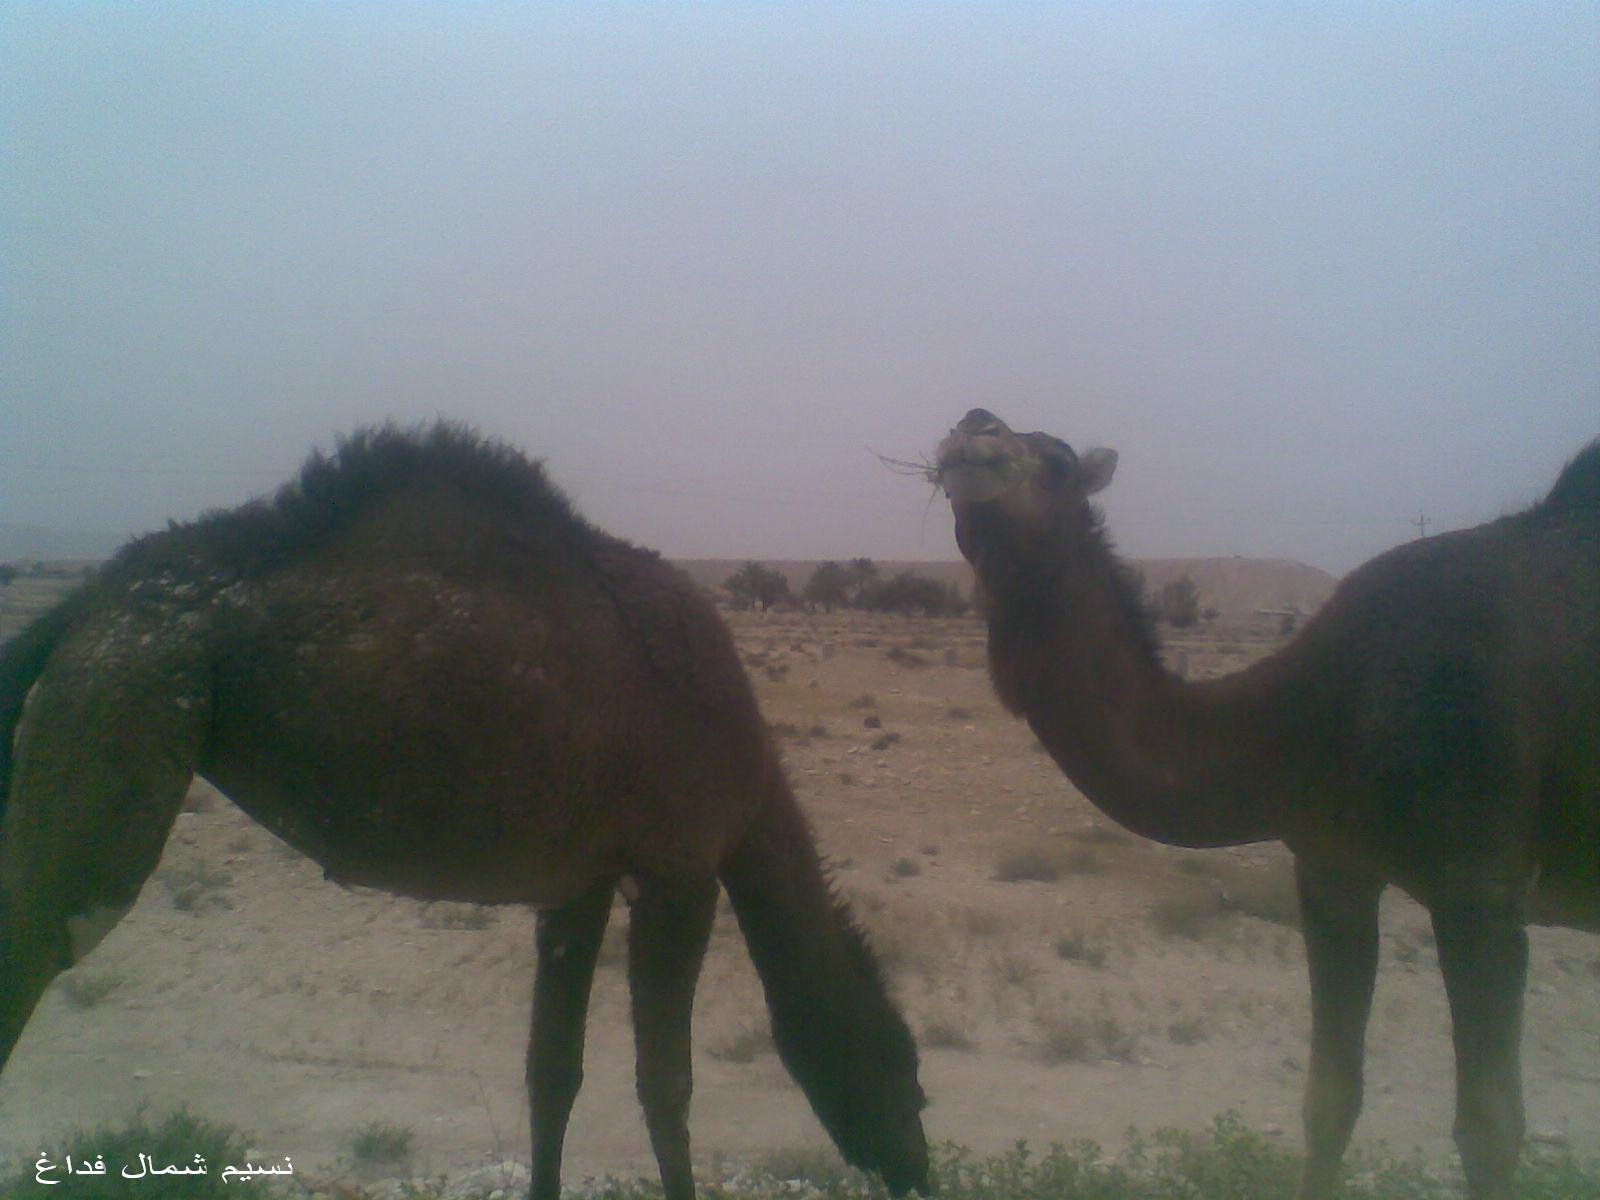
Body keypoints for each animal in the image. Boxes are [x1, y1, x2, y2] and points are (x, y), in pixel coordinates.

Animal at [0, 422, 930, 1200]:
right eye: (904, 1069)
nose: (917, 1168)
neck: (752, 790)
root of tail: (83, 609)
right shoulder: (681, 869)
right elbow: (667, 1086)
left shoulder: (582, 880)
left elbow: (553, 1071)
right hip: (124, 713)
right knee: (45, 934)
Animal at [934, 409, 1598, 1200]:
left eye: (1060, 463)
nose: (976, 430)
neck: (1323, 707)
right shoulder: (1332, 868)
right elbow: (1330, 1100)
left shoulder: (1481, 885)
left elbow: (1491, 1133)